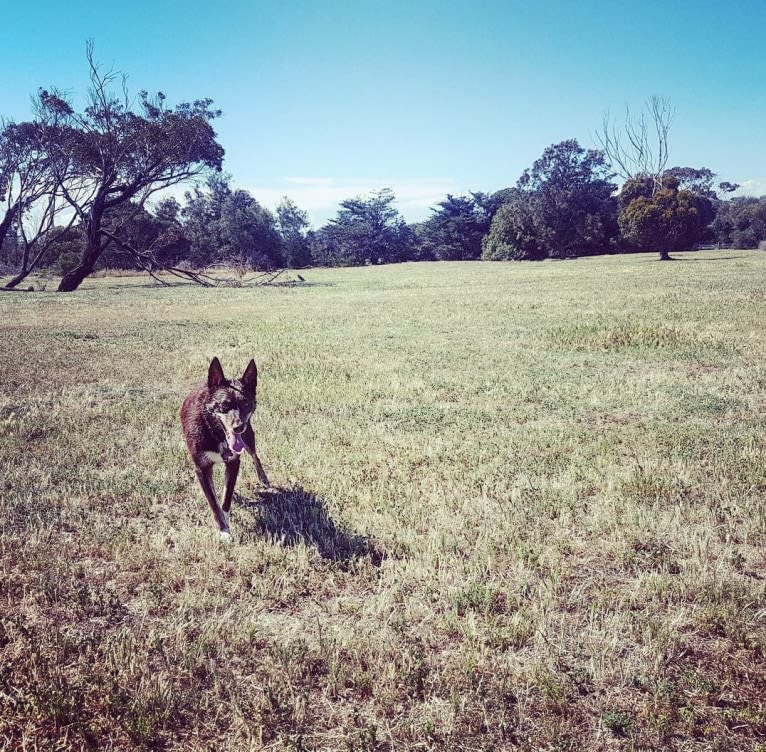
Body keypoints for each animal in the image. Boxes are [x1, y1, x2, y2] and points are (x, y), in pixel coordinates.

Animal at [182, 358, 272, 540]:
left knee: (255, 456)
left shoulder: (233, 463)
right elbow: (213, 503)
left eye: (246, 404)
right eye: (224, 405)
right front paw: (223, 531)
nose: (238, 427)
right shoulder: (201, 468)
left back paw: (263, 478)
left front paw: (226, 526)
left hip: (248, 437)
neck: (215, 432)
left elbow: (226, 499)